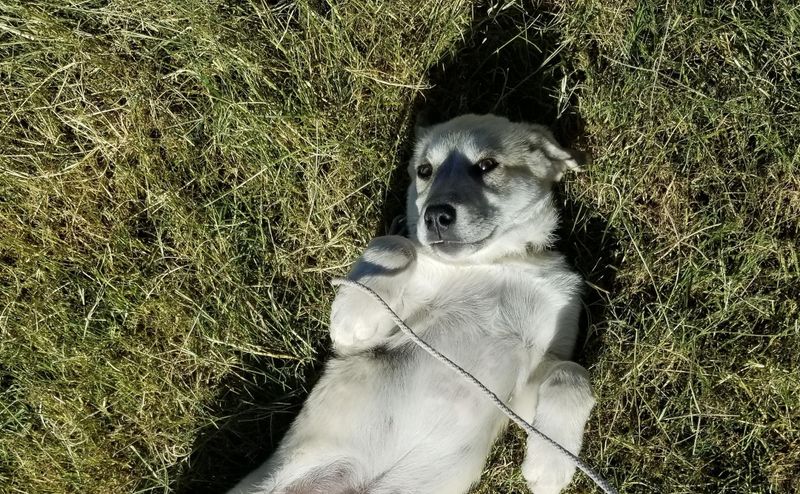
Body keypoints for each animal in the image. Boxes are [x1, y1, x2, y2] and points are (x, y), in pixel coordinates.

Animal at [229, 114, 595, 494]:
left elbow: (572, 374)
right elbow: (395, 242)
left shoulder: (527, 384)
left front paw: (551, 462)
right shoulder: (374, 336)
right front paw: (354, 314)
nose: (435, 216)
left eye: (486, 165)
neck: (494, 262)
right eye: (424, 170)